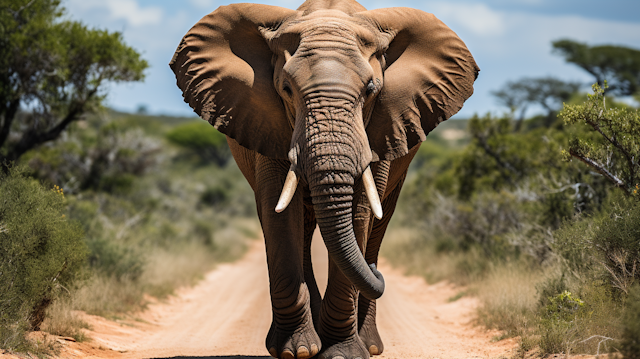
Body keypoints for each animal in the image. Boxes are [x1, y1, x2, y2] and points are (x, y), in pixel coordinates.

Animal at [171, 0, 480, 358]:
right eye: (286, 89)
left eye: (371, 90)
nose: (377, 273)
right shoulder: (268, 123)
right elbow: (279, 214)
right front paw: (297, 351)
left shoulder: (381, 127)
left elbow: (361, 212)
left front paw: (343, 353)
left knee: (378, 225)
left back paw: (369, 343)